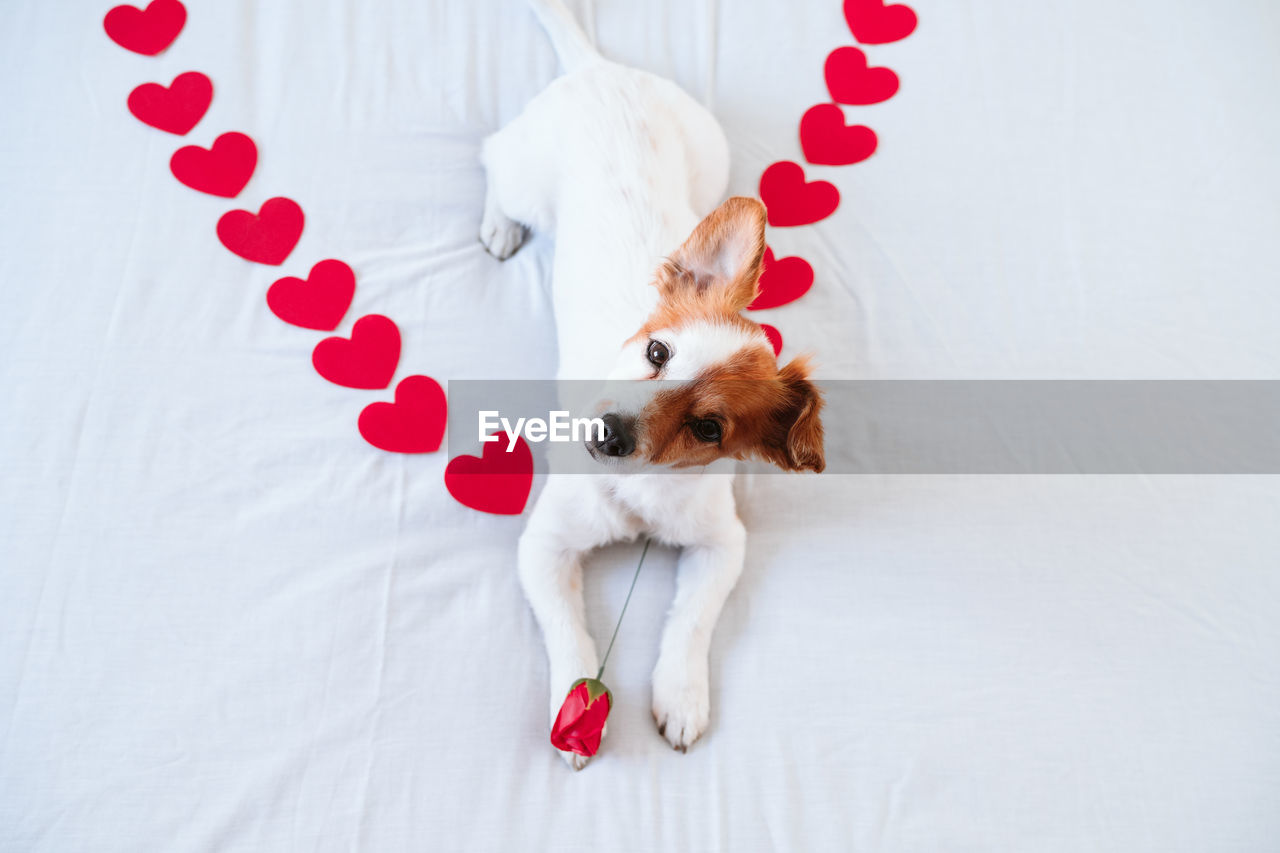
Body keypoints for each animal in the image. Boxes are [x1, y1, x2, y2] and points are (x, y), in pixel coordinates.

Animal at [481, 0, 829, 763]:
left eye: (708, 427)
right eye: (657, 350)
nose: (608, 433)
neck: (640, 491)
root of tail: (600, 71)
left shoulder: (720, 545)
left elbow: (690, 619)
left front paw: (681, 694)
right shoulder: (544, 547)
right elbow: (569, 632)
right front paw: (575, 706)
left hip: (713, 158)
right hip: (526, 173)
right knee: (491, 157)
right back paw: (498, 222)